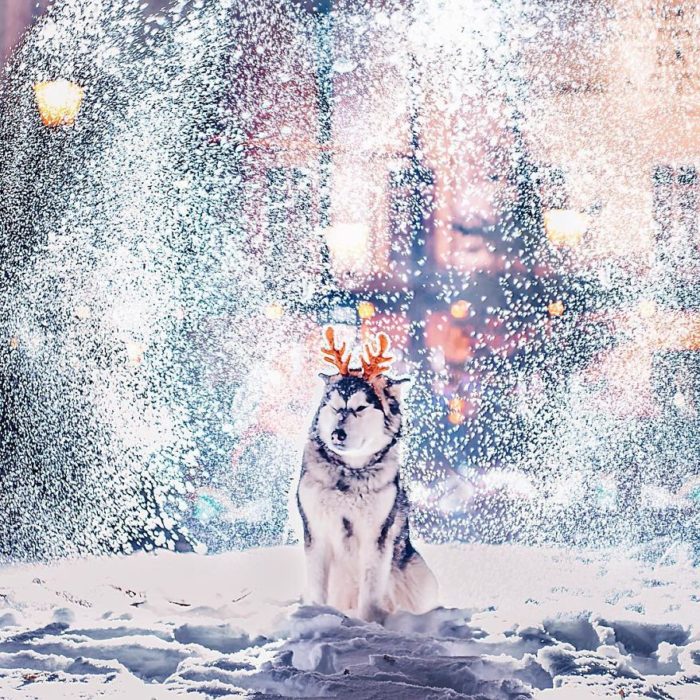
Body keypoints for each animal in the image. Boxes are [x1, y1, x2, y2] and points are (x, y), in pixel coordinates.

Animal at [296, 328, 438, 624]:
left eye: (360, 408)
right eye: (334, 407)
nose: (337, 434)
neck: (349, 474)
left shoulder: (377, 534)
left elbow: (371, 587)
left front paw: (369, 623)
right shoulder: (316, 529)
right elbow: (317, 584)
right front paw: (316, 614)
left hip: (419, 577)